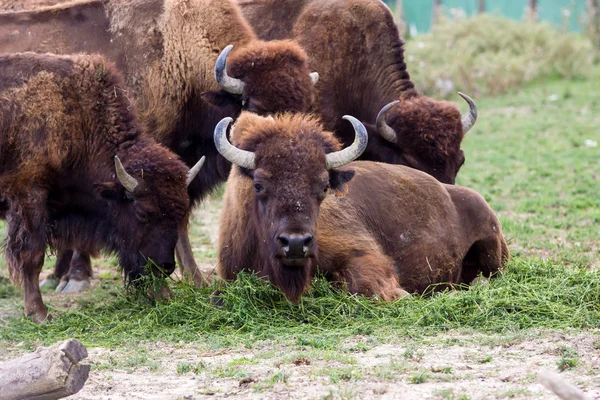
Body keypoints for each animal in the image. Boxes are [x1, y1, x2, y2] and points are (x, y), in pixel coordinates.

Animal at [0, 52, 204, 322]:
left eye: (181, 212)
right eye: (142, 213)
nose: (165, 266)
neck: (76, 116)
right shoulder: (28, 195)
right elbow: (32, 256)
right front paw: (39, 314)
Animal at [216, 112, 506, 304]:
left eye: (323, 186)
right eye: (258, 184)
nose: (296, 243)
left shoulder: (362, 254)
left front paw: (403, 295)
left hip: (494, 250)